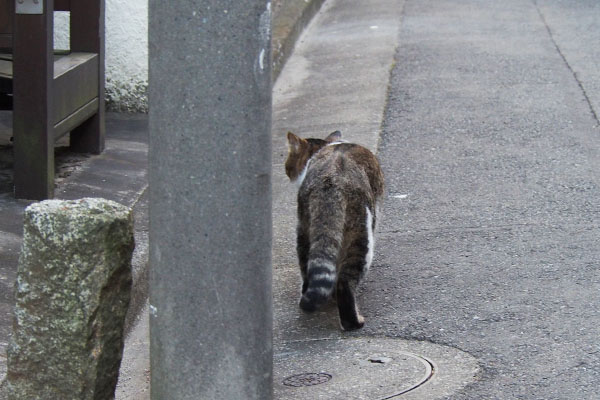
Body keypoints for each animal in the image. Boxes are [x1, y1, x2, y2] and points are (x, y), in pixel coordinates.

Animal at [286, 131, 384, 332]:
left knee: (308, 271)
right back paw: (354, 322)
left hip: (304, 231)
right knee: (344, 283)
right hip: (361, 235)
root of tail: (332, 181)